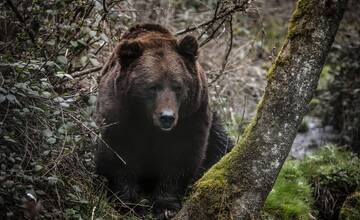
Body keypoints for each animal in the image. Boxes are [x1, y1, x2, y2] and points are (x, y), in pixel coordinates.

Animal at [94, 24, 232, 218]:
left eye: (178, 87)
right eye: (152, 87)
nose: (167, 117)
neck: (149, 122)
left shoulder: (191, 116)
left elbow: (181, 157)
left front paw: (166, 206)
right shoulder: (120, 113)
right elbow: (118, 154)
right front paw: (130, 204)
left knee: (222, 146)